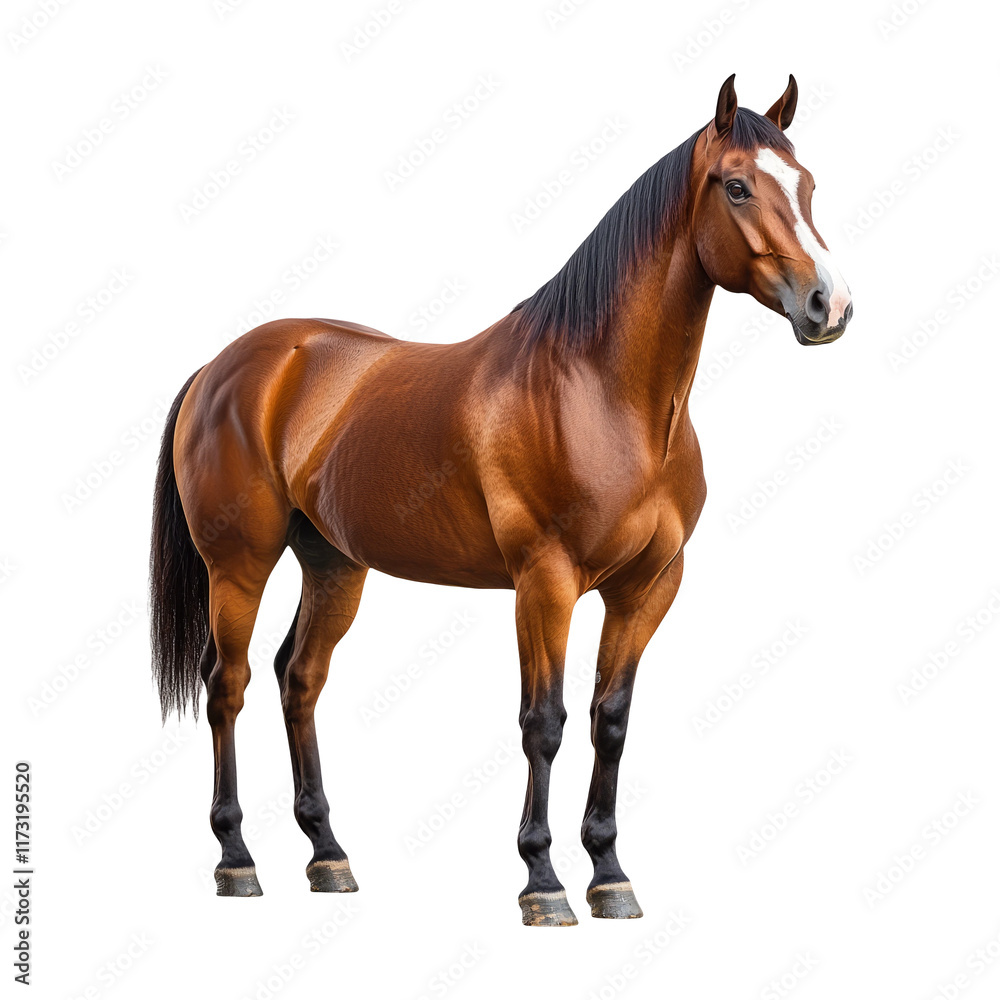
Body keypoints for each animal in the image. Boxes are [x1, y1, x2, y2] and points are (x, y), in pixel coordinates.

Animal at [149, 74, 852, 926]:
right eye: (738, 185)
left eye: (807, 185)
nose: (829, 306)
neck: (602, 392)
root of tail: (225, 365)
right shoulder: (544, 582)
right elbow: (543, 724)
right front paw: (543, 881)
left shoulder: (646, 588)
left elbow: (610, 722)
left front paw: (610, 874)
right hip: (239, 565)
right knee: (229, 686)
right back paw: (237, 860)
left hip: (334, 566)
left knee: (299, 678)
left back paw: (328, 856)